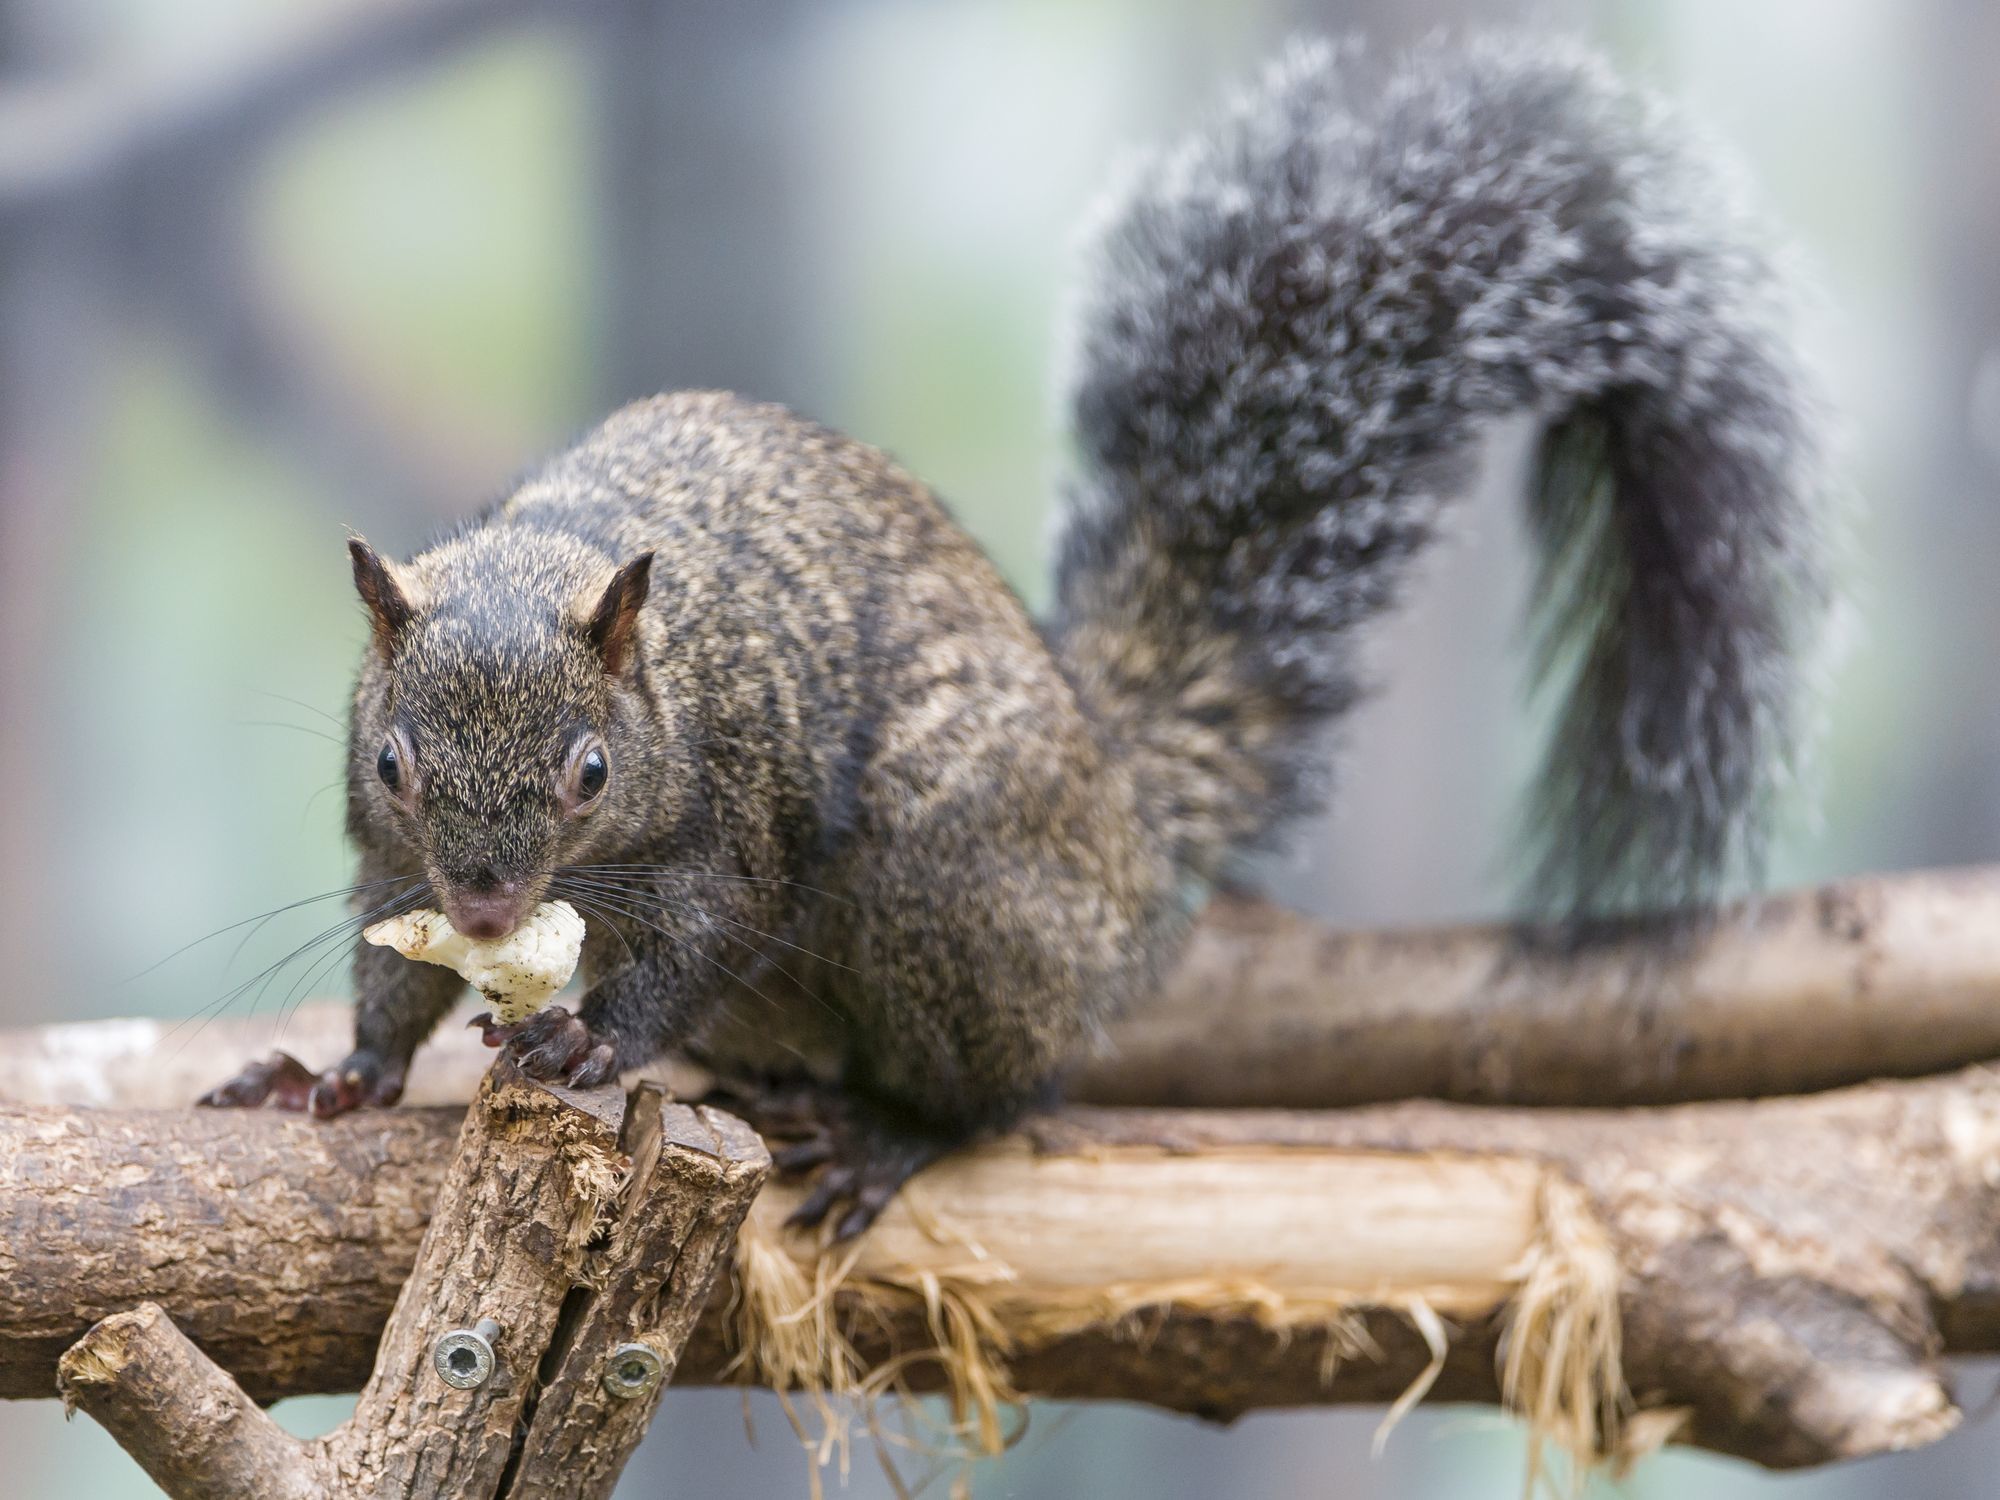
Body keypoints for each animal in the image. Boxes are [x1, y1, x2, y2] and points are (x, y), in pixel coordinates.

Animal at [203, 35, 1832, 1240]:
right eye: (397, 762)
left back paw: (887, 1132)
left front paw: (594, 1039)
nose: (488, 907)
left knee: (1004, 1096)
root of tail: (1126, 852)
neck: (582, 552)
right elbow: (387, 975)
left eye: (592, 772)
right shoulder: (385, 860)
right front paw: (339, 1077)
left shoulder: (740, 810)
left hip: (946, 886)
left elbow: (706, 932)